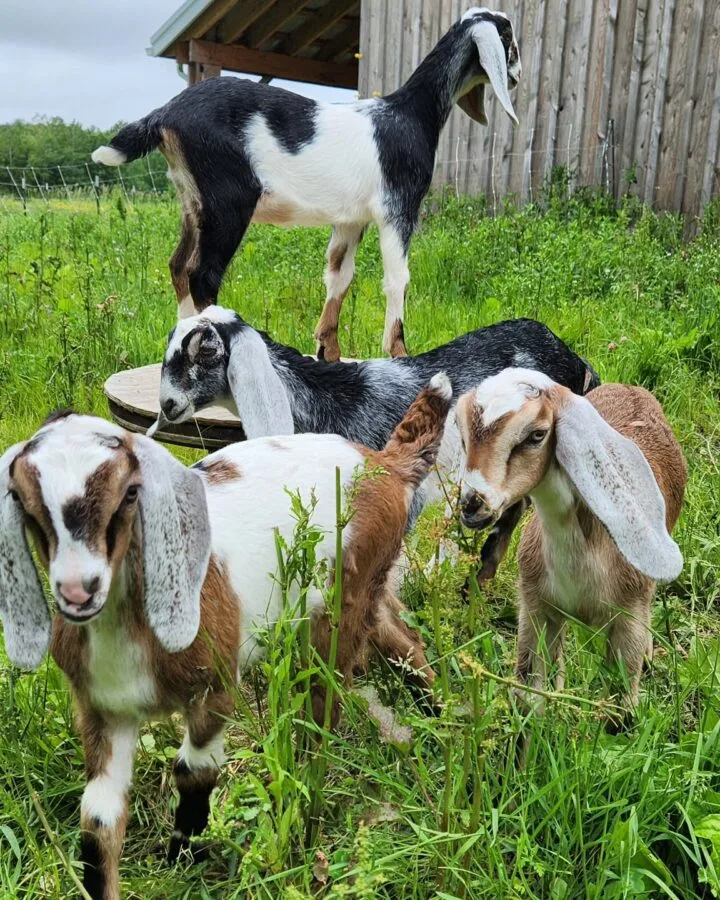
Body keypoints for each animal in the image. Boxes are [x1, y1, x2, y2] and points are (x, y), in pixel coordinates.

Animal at [0, 377, 449, 900]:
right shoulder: (102, 711)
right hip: (368, 588)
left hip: (340, 604)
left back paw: (301, 800)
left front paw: (184, 855)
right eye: (23, 502)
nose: (78, 589)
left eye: (130, 494)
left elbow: (193, 770)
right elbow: (97, 819)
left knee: (323, 705)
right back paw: (439, 717)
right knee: (402, 641)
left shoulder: (215, 684)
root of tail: (383, 463)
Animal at [91, 8, 521, 361]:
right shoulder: (398, 209)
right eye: (508, 38)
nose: (516, 78)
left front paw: (327, 349)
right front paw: (399, 351)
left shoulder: (350, 219)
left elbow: (339, 275)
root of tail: (165, 113)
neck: (410, 114)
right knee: (202, 273)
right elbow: (397, 279)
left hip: (192, 200)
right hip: (228, 200)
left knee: (179, 265)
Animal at [455, 369, 687, 726]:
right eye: (462, 430)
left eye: (536, 434)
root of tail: (629, 387)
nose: (472, 504)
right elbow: (530, 698)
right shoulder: (536, 607)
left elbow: (618, 715)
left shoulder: (629, 619)